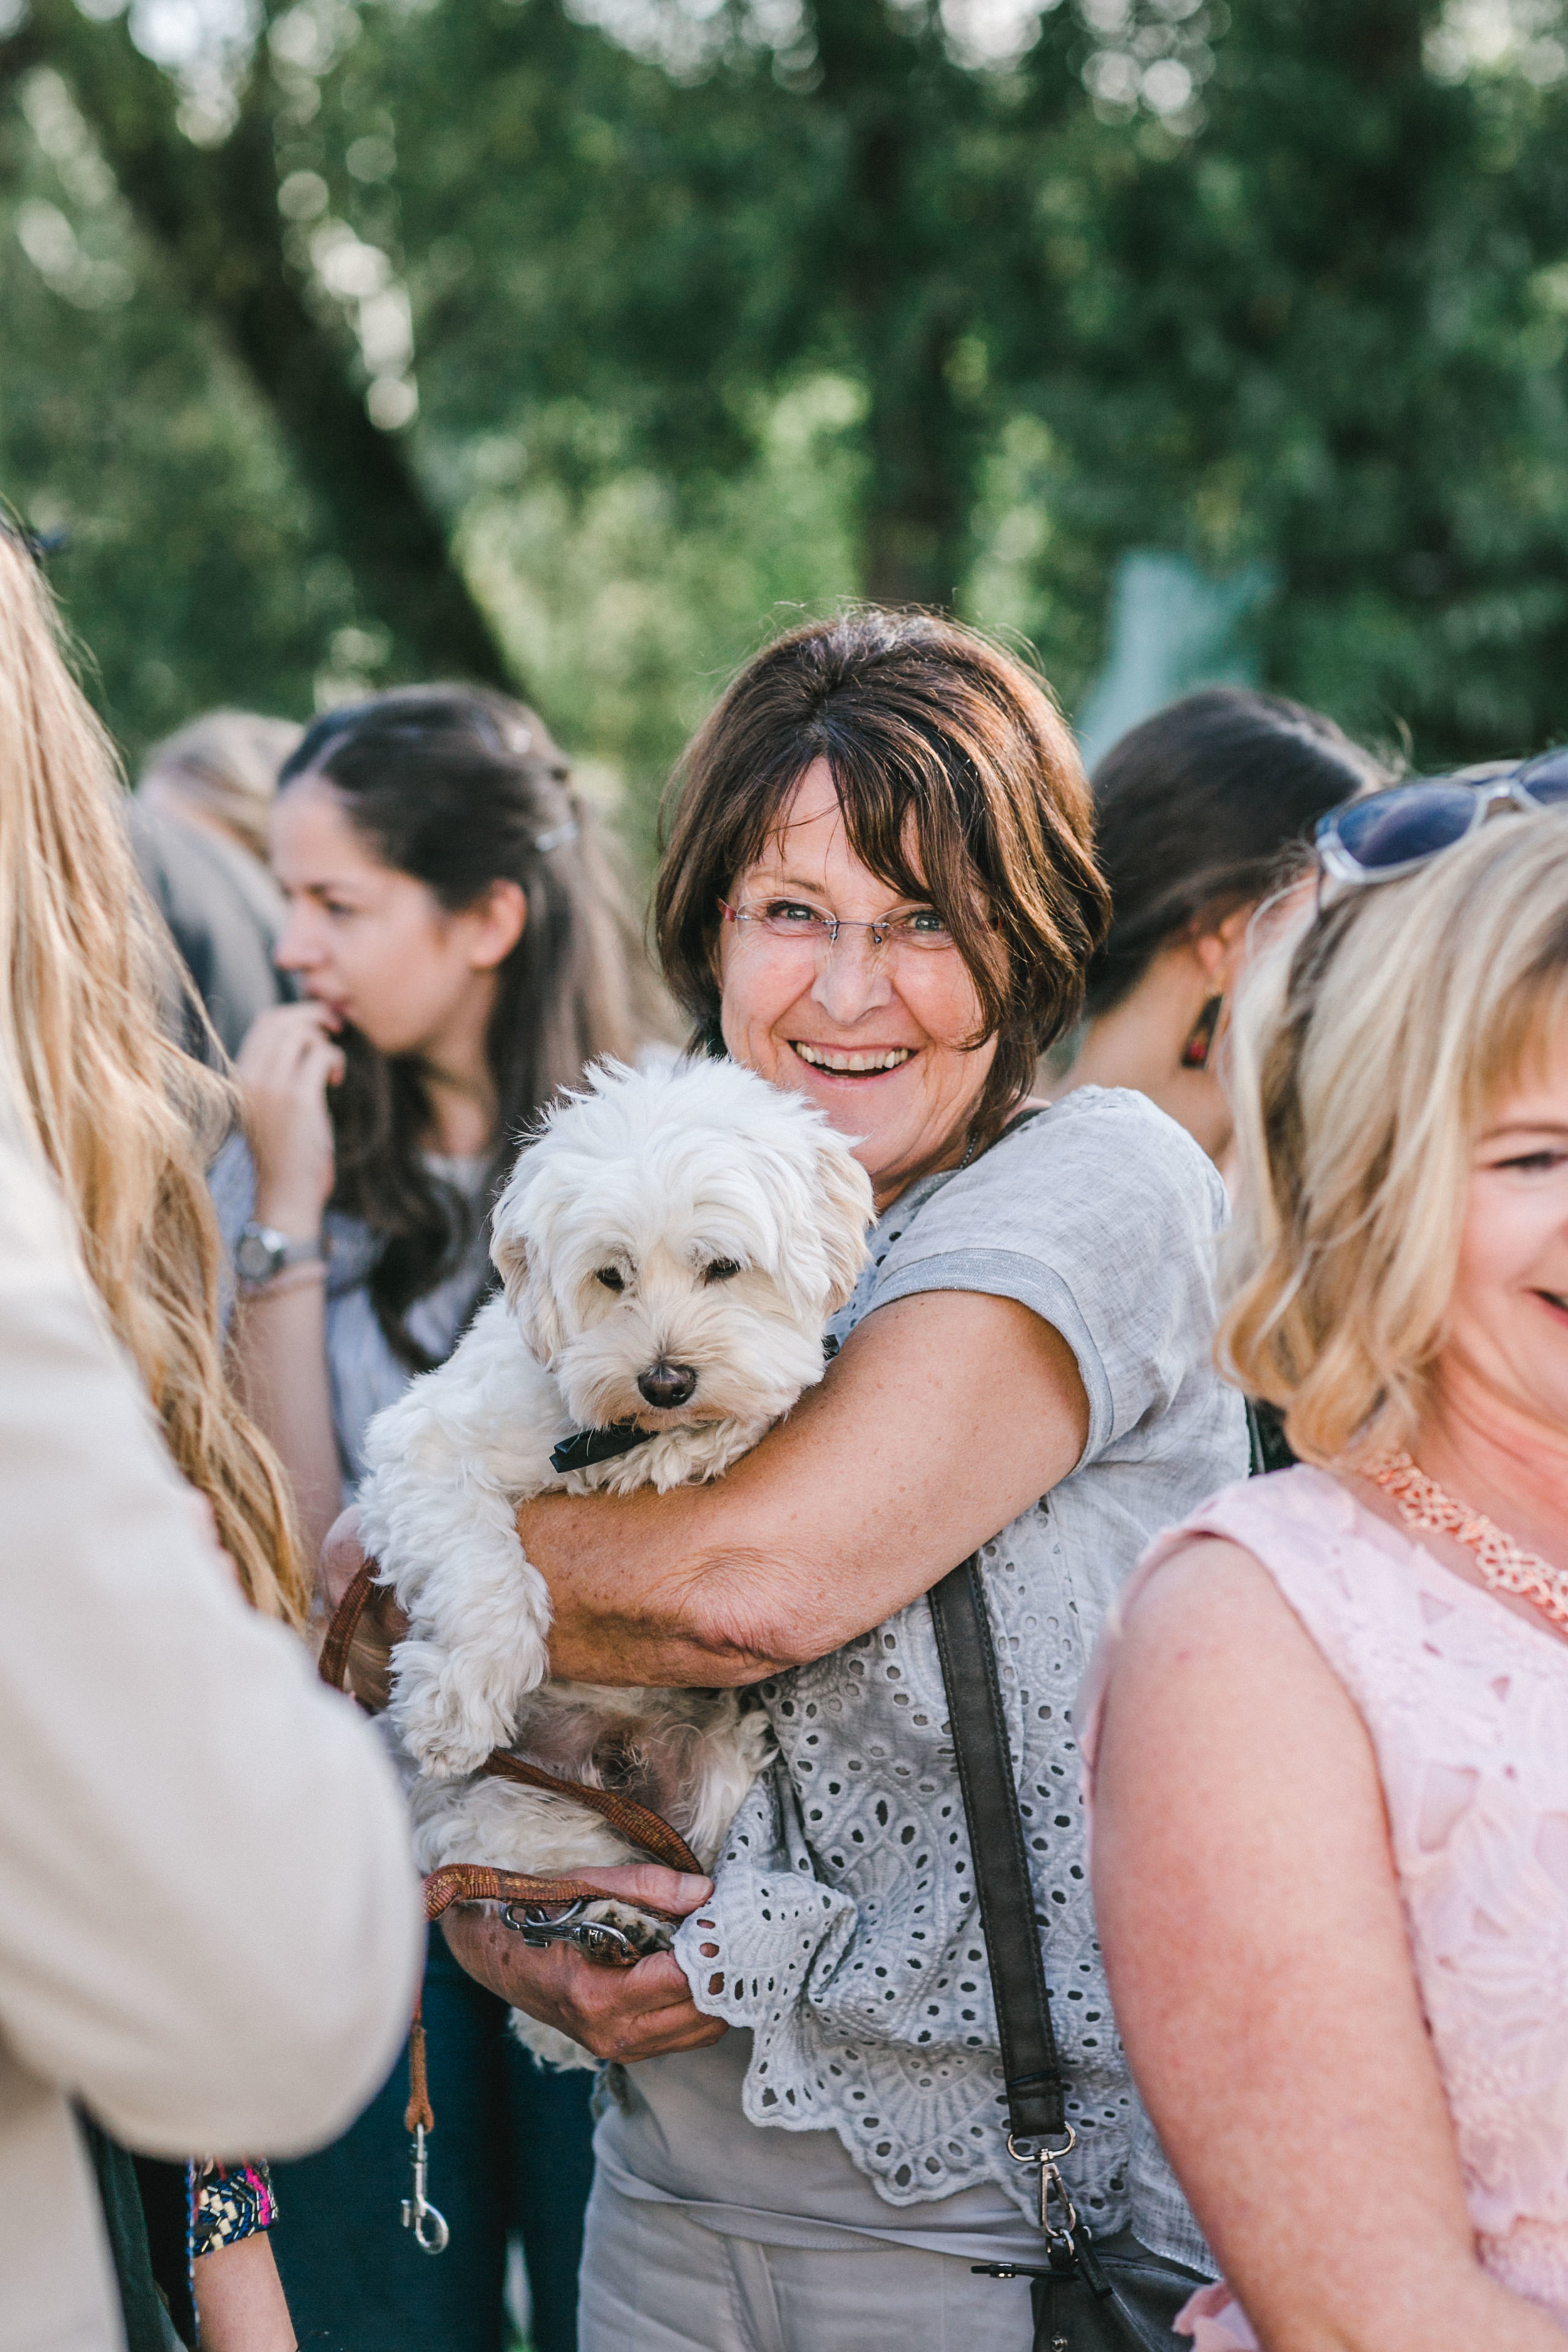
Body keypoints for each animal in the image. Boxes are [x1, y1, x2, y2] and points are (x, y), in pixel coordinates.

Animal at [357, 1058, 879, 2070]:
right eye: (612, 1276)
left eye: (723, 1265)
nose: (665, 1380)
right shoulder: (424, 1449)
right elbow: (484, 1567)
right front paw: (458, 1698)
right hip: (508, 1810)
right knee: (544, 1883)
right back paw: (603, 1923)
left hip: (717, 1779)